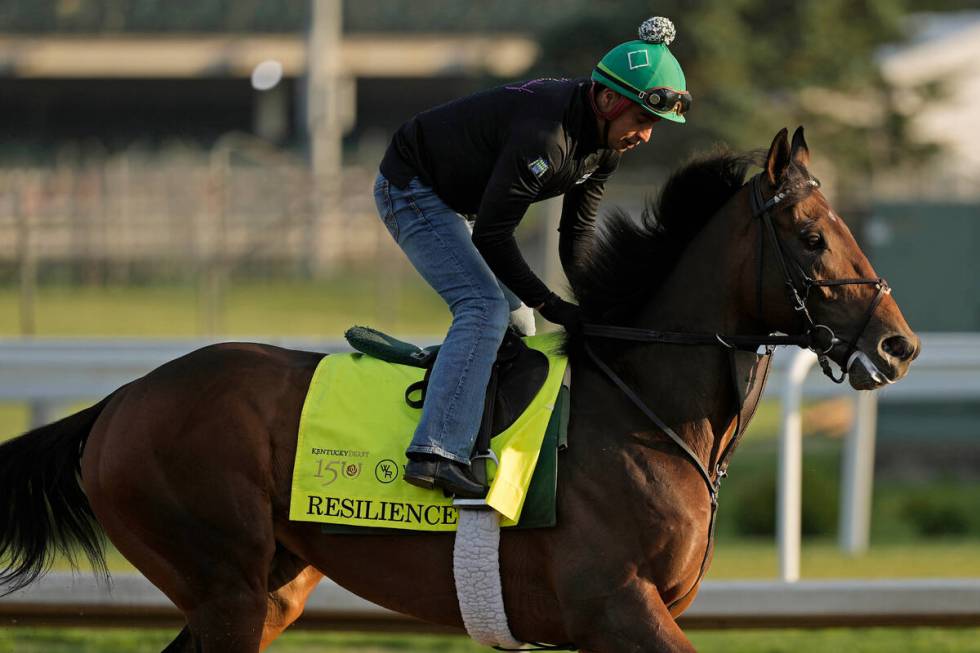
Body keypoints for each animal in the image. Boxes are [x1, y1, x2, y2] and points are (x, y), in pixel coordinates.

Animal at [1, 129, 920, 652]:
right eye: (812, 236)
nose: (899, 343)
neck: (641, 408)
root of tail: (119, 401)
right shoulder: (618, 605)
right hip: (223, 582)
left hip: (268, 590)